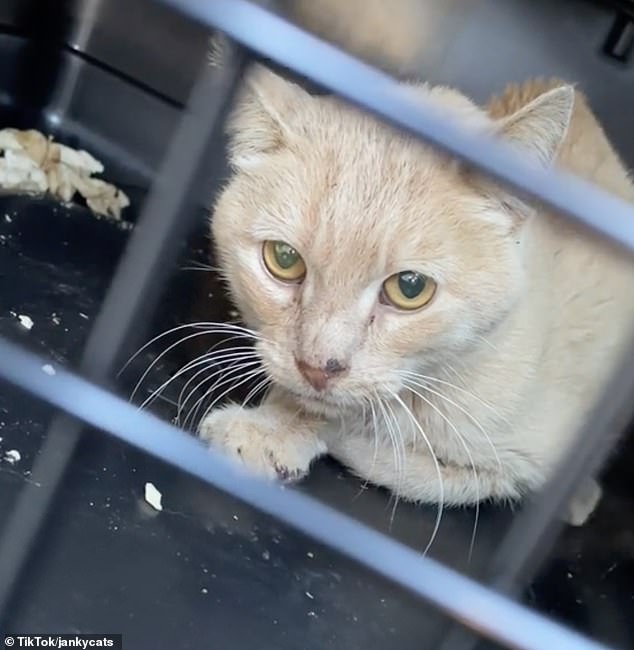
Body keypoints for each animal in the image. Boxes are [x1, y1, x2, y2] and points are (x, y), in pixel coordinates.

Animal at [198, 7, 632, 524]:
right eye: (284, 261)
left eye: (410, 288)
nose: (319, 367)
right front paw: (279, 422)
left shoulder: (514, 465)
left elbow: (404, 459)